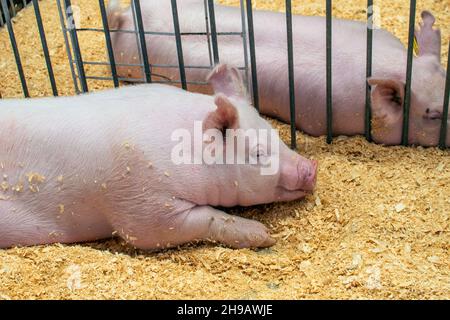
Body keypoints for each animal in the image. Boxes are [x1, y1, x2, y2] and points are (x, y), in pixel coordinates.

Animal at [0, 64, 316, 250]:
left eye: (276, 134)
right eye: (258, 153)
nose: (311, 168)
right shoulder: (142, 204)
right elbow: (201, 220)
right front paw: (264, 235)